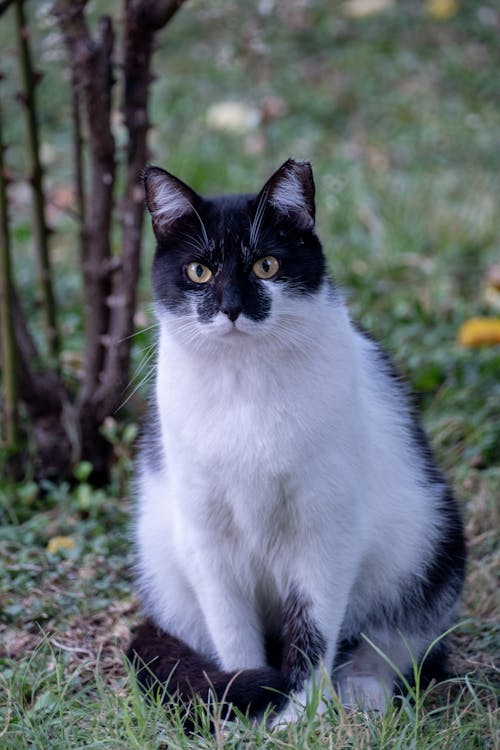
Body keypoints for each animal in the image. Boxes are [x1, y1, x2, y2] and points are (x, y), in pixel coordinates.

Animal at [128, 159, 464, 728]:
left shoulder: (325, 530)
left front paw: (300, 715)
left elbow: (312, 628)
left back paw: (363, 693)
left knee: (391, 642)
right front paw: (246, 706)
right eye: (199, 272)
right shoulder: (207, 533)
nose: (232, 308)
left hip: (434, 545)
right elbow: (232, 631)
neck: (246, 384)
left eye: (267, 265)